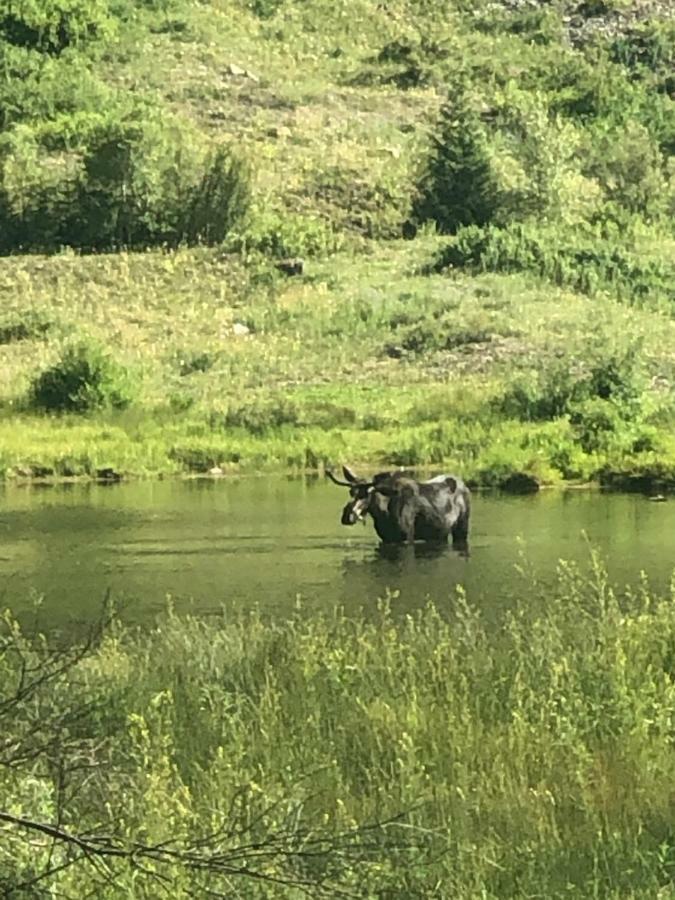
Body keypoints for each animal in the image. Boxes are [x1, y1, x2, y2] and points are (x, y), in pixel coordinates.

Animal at [328, 468, 470, 544]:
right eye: (351, 492)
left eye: (367, 493)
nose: (347, 516)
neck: (382, 513)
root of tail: (464, 485)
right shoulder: (387, 539)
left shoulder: (406, 538)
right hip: (441, 532)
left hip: (462, 528)